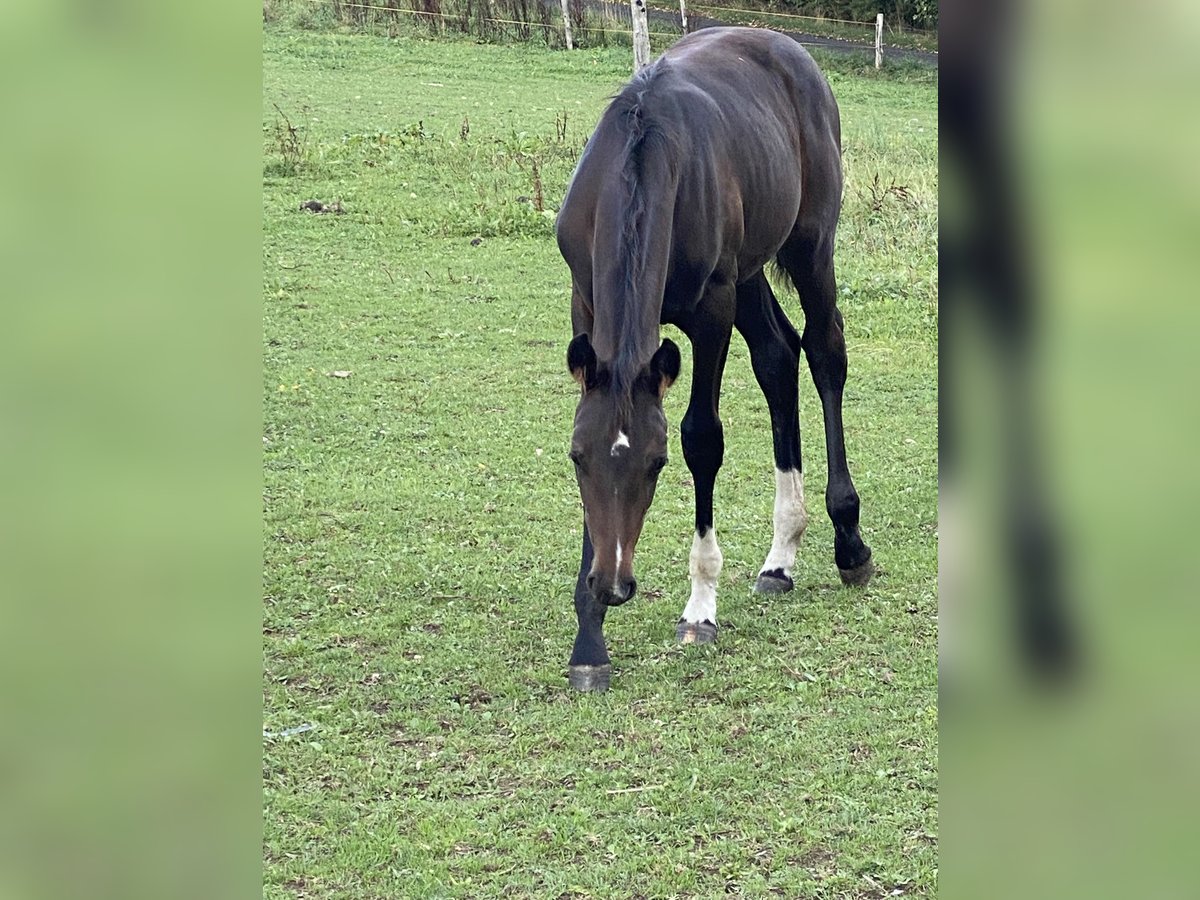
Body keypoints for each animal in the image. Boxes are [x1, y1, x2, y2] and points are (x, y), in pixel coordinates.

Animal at [554, 27, 874, 692]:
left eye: (656, 464)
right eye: (576, 459)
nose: (614, 585)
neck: (641, 154)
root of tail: (791, 50)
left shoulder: (711, 311)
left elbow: (703, 437)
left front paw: (700, 607)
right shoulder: (585, 303)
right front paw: (589, 640)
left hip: (808, 247)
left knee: (824, 353)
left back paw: (849, 543)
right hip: (751, 270)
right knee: (778, 357)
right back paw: (780, 561)